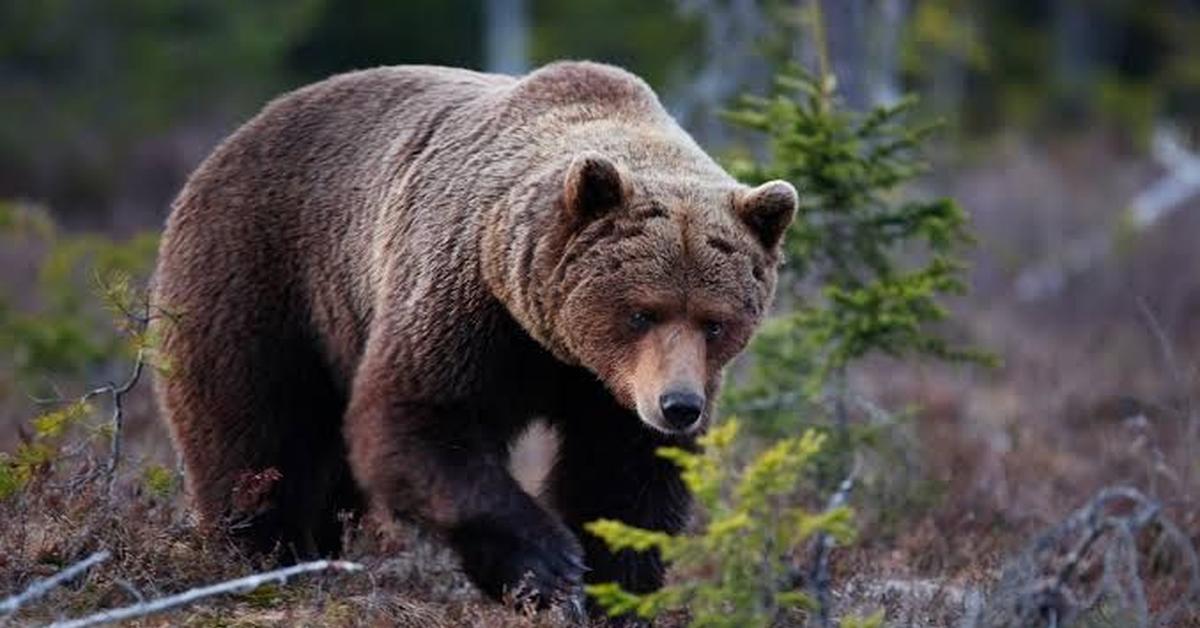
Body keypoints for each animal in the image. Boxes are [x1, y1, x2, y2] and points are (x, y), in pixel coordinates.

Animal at [152, 61, 796, 607]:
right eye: (642, 312)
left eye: (715, 321)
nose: (678, 405)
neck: (555, 345)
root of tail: (239, 132)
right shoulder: (470, 306)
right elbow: (419, 421)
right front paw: (549, 565)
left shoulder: (612, 390)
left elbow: (625, 477)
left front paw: (616, 588)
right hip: (262, 276)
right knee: (255, 429)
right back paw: (265, 555)